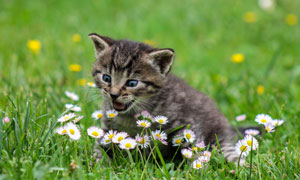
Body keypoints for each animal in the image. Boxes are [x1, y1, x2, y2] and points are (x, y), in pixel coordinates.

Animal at [89, 32, 241, 163]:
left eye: (132, 83)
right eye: (106, 78)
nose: (113, 94)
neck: (130, 116)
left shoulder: (187, 125)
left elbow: (192, 149)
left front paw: (195, 168)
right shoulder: (108, 127)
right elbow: (101, 146)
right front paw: (97, 163)